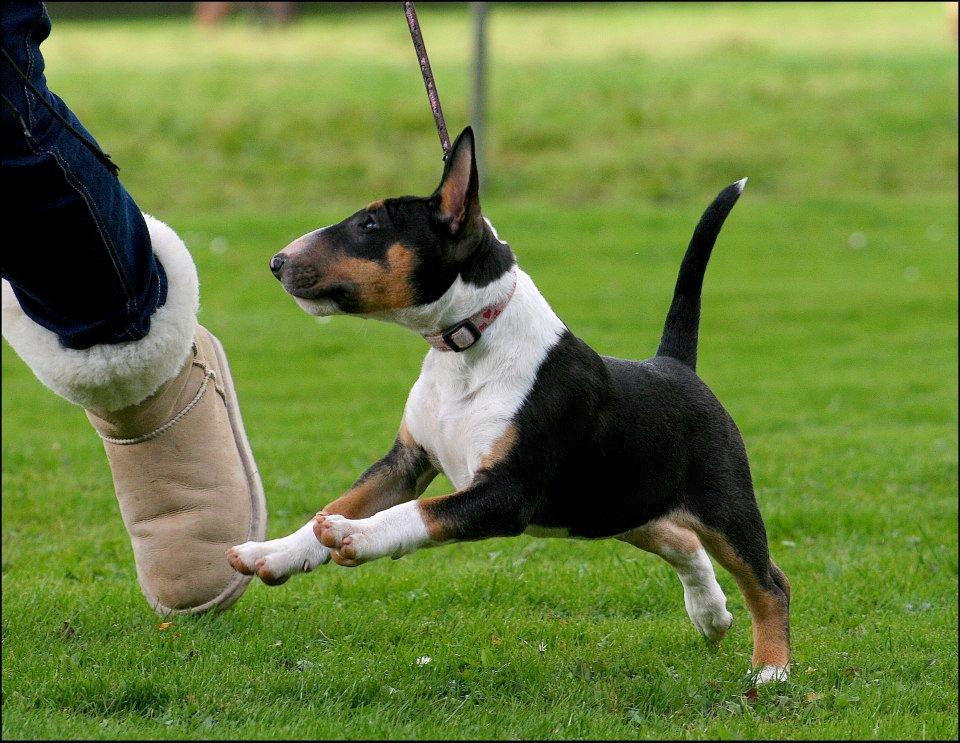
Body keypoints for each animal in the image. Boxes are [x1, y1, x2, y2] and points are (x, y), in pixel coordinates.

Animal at [229, 128, 792, 684]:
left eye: (370, 224)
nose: (276, 262)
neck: (468, 346)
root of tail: (674, 364)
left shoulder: (505, 492)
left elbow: (418, 513)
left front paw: (354, 536)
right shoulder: (406, 461)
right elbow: (337, 505)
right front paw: (271, 553)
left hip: (723, 504)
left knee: (768, 579)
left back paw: (771, 670)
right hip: (616, 505)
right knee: (682, 540)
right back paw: (712, 617)